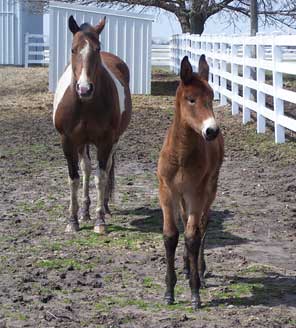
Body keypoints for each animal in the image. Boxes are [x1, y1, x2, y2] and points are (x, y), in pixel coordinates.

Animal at [53, 16, 132, 233]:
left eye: (97, 49)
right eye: (73, 49)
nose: (84, 88)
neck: (85, 104)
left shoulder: (106, 141)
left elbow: (101, 177)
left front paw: (100, 220)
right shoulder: (68, 141)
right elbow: (74, 178)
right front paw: (73, 220)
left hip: (113, 140)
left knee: (105, 169)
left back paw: (103, 207)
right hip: (82, 143)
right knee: (86, 168)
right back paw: (84, 212)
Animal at [157, 55, 224, 308]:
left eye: (212, 98)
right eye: (191, 99)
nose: (212, 131)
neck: (182, 155)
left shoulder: (197, 193)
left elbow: (193, 236)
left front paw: (195, 292)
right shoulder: (167, 192)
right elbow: (171, 235)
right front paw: (169, 291)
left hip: (209, 189)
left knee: (202, 225)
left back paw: (200, 272)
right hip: (183, 197)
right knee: (186, 221)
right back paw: (186, 267)